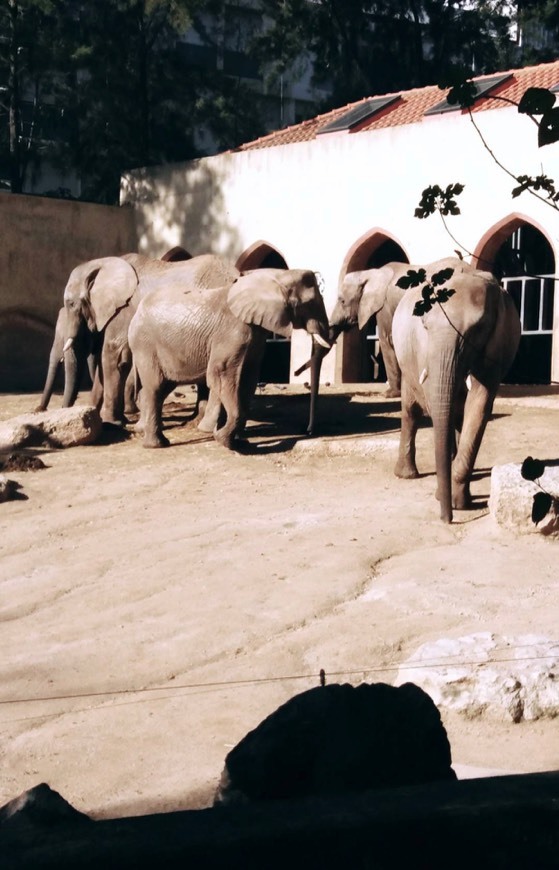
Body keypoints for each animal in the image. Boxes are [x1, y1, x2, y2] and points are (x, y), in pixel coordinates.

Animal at [59, 250, 241, 428]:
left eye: (71, 304)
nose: (65, 410)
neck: (103, 263)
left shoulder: (124, 309)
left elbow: (114, 355)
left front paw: (111, 422)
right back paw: (196, 419)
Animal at [130, 268, 332, 450]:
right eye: (309, 303)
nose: (308, 431)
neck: (275, 276)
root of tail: (137, 312)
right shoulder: (233, 332)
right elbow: (220, 374)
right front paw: (224, 440)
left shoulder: (255, 335)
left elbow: (248, 379)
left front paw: (239, 442)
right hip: (144, 345)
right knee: (155, 386)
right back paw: (156, 445)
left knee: (163, 388)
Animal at [394, 264, 520, 524]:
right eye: (424, 326)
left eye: (476, 329)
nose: (447, 520)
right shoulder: (424, 347)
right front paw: (446, 497)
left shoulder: (498, 341)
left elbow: (480, 402)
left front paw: (456, 501)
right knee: (411, 409)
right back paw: (406, 474)